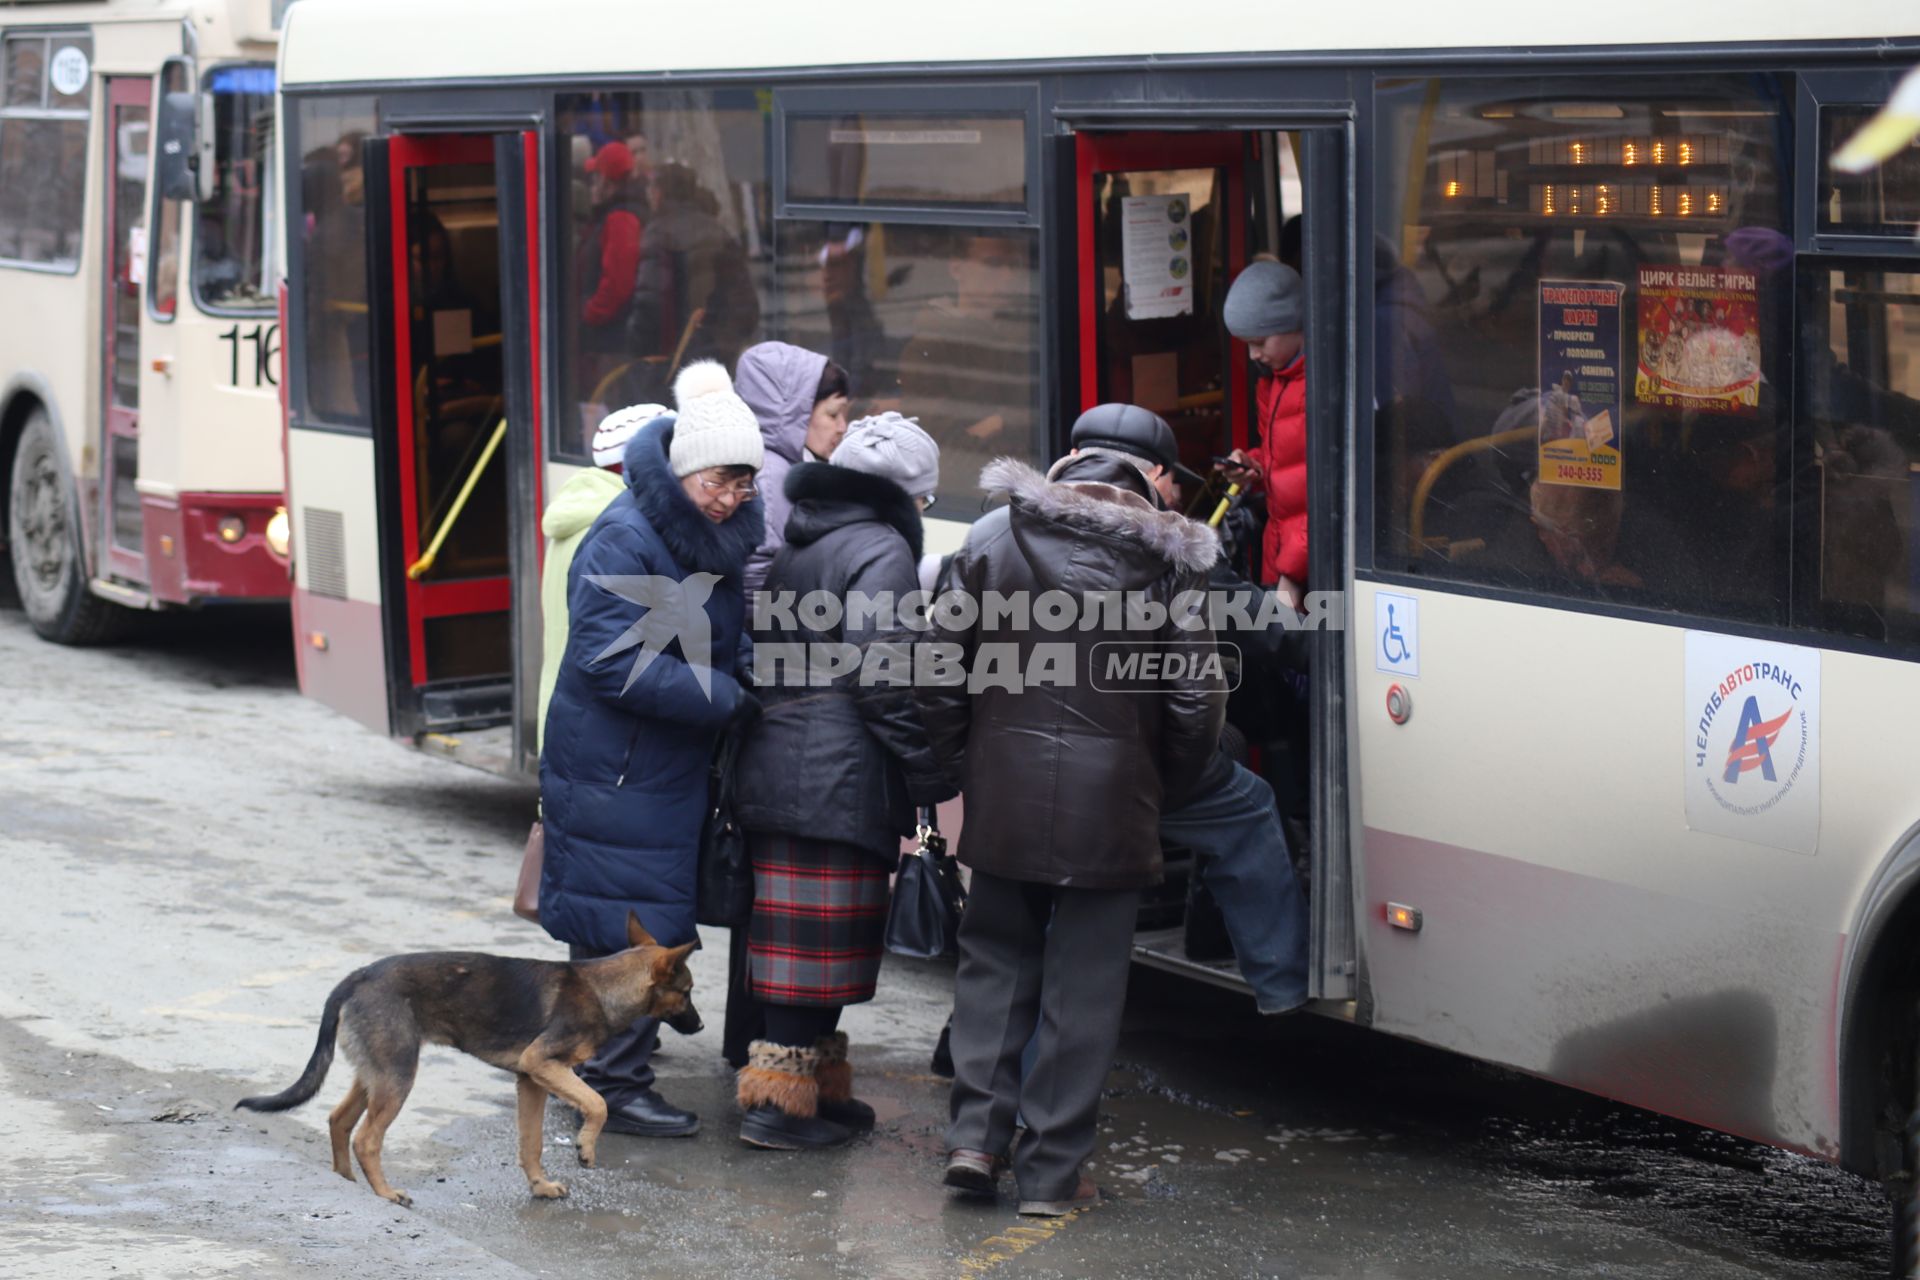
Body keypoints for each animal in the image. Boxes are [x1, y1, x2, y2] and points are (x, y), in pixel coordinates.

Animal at [235, 917, 695, 1205]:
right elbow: (597, 1103)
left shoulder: (532, 1080)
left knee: (338, 1119)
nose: (700, 1023)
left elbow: (532, 1142)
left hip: (377, 1073)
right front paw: (585, 1147)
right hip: (398, 1077)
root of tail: (357, 976)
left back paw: (346, 1181)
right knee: (366, 1138)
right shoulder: (544, 1063)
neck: (603, 987)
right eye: (688, 991)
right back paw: (385, 1193)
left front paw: (540, 1186)